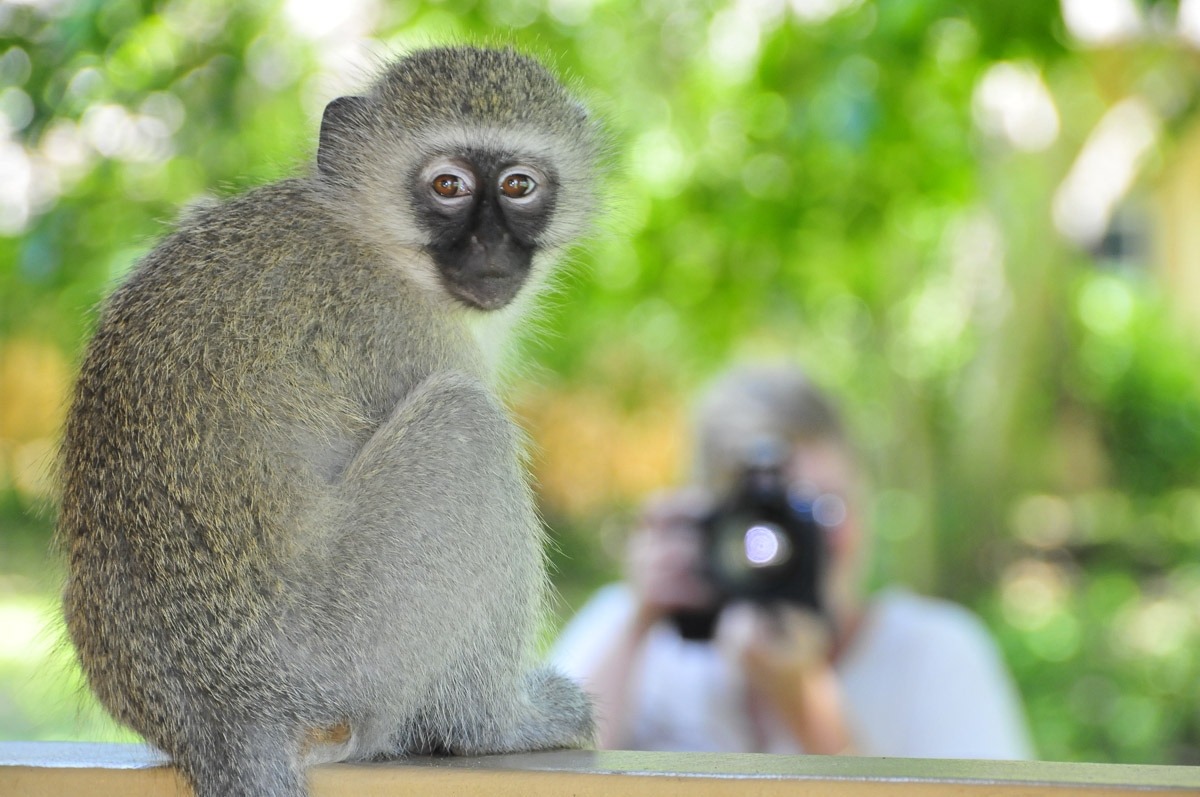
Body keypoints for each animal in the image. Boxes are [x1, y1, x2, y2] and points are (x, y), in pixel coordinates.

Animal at [56, 46, 605, 797]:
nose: (492, 246)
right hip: (346, 651)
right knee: (467, 426)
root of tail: (222, 717)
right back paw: (489, 725)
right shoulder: (402, 333)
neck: (372, 237)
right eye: (448, 185)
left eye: (518, 185)